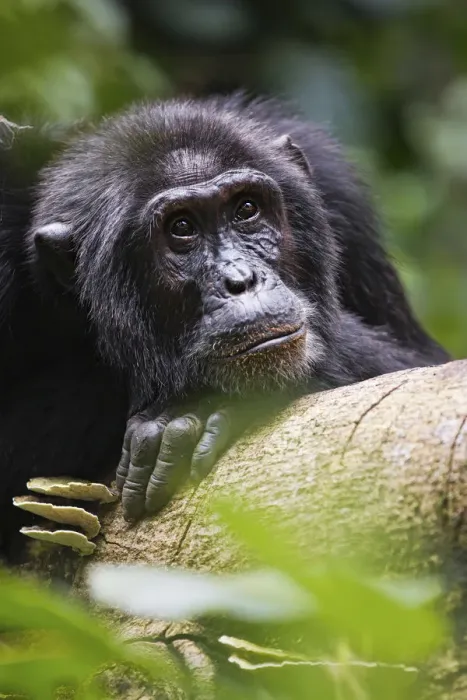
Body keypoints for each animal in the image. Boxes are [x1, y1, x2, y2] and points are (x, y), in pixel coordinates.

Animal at [0, 94, 449, 557]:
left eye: (246, 210)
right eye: (181, 228)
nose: (240, 279)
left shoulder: (339, 194)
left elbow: (420, 366)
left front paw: (199, 407)